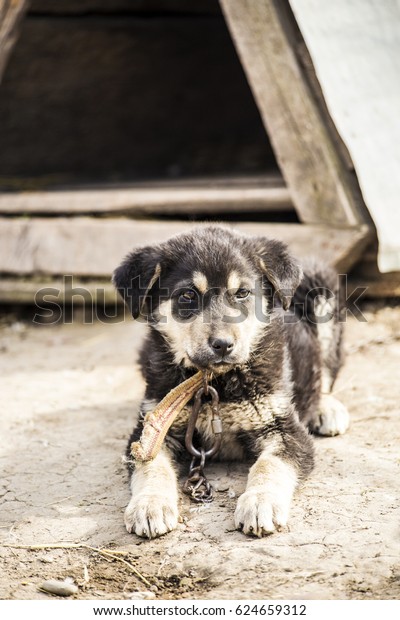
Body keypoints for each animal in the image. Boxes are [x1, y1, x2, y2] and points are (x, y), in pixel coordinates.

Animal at [113, 226, 350, 536]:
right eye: (187, 295)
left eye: (242, 293)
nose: (223, 345)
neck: (215, 383)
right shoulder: (153, 428)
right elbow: (152, 465)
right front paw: (150, 504)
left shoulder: (284, 428)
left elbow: (269, 465)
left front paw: (260, 502)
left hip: (320, 289)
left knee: (325, 372)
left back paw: (326, 408)